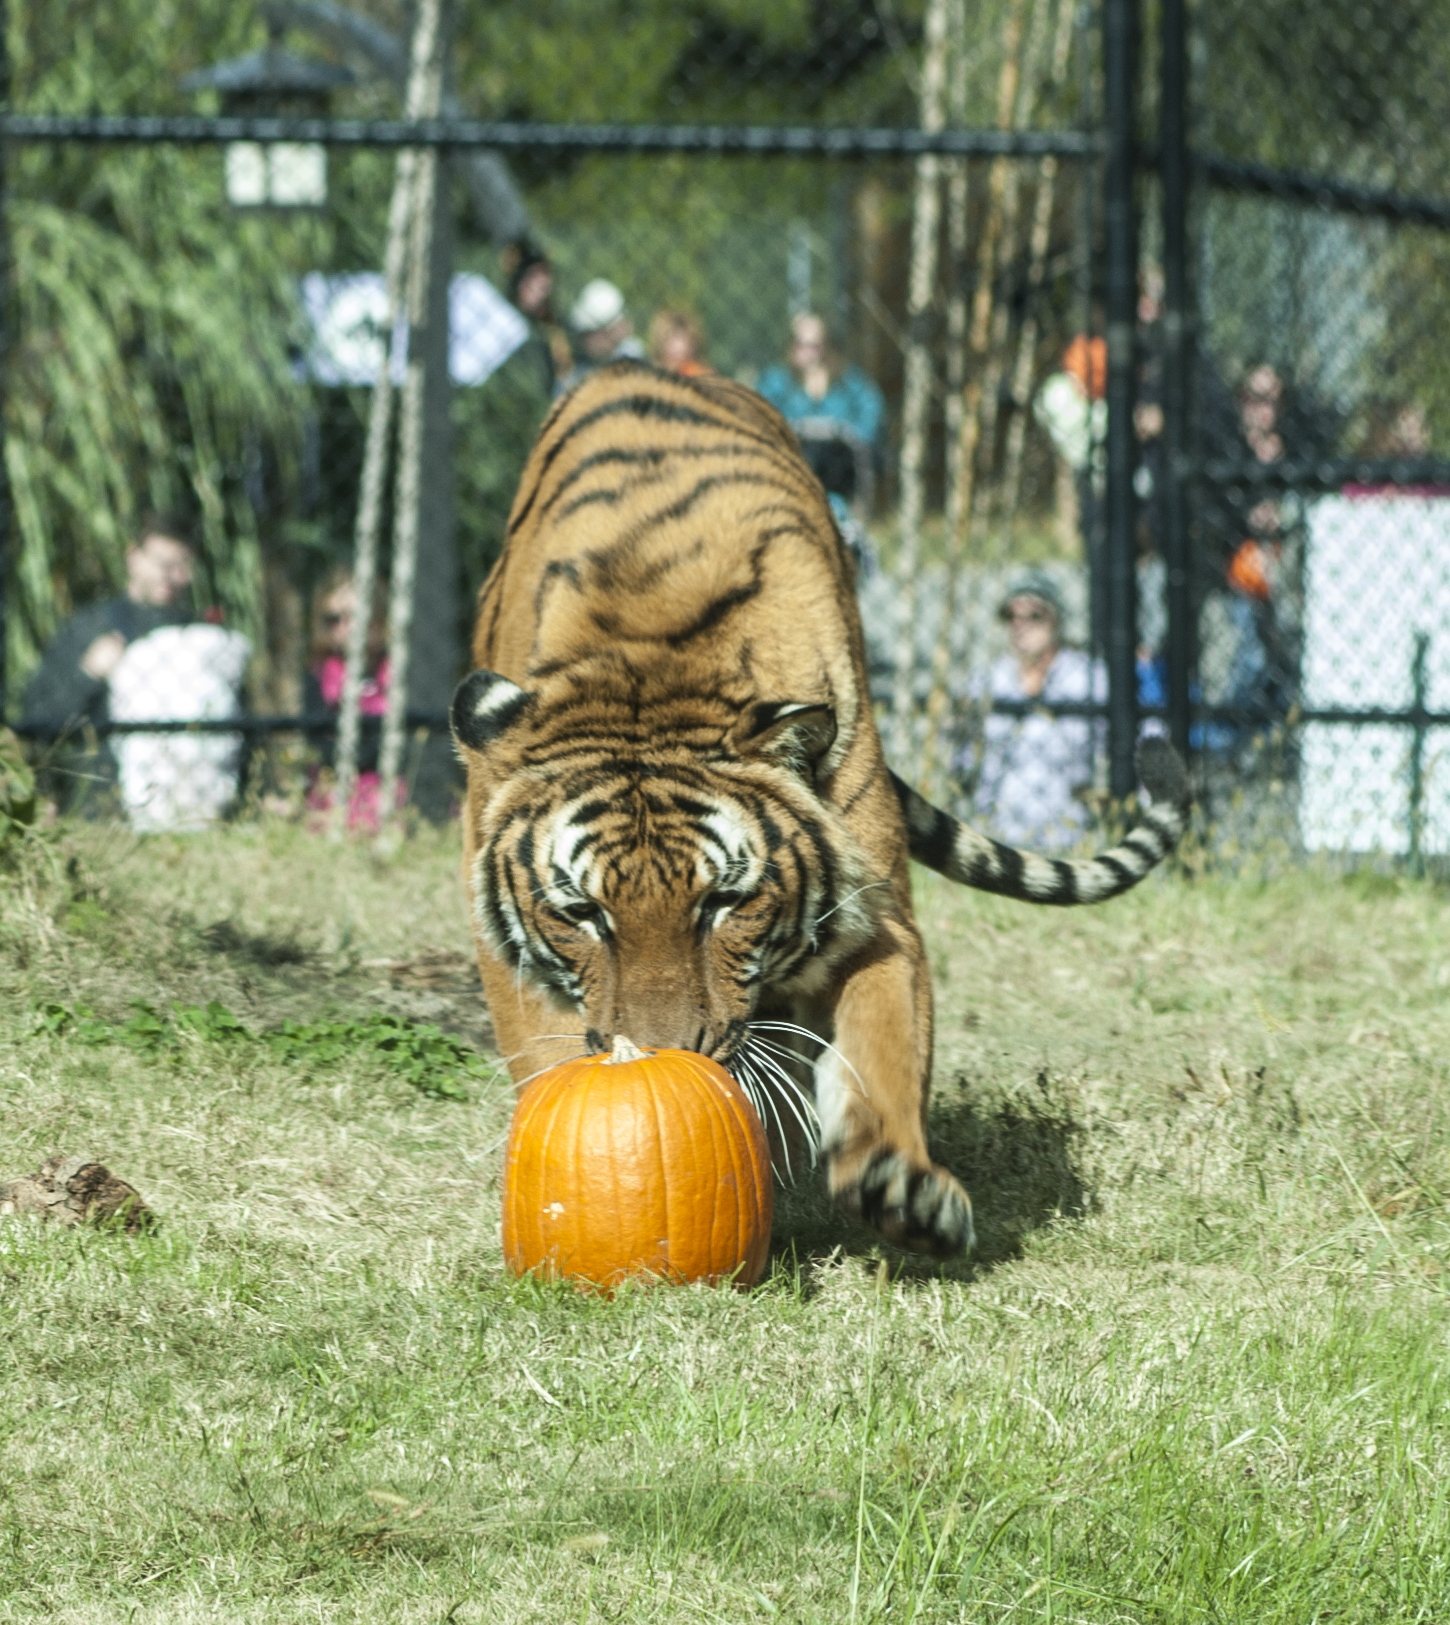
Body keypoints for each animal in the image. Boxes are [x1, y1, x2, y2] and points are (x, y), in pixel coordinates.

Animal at [453, 361, 1190, 1257]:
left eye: (722, 902)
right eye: (583, 913)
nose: (665, 1052)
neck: (649, 661)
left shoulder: (879, 923)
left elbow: (883, 1056)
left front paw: (902, 1187)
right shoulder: (507, 950)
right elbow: (548, 1058)